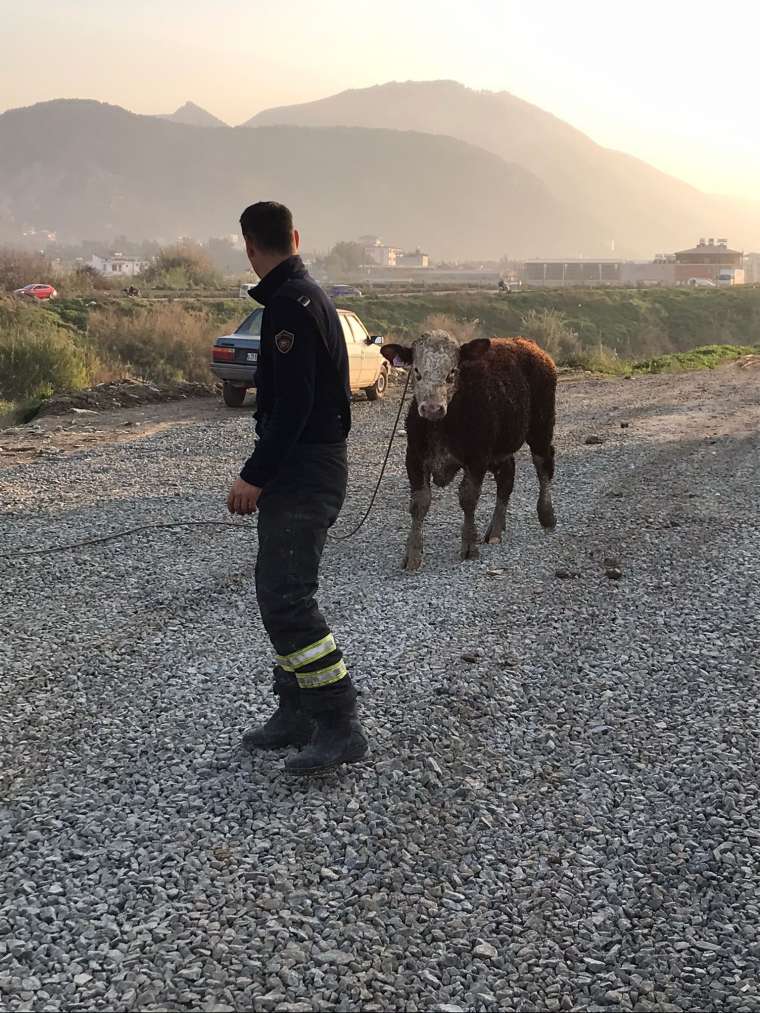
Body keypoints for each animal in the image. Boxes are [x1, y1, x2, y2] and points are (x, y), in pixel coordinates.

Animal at [383, 332, 555, 571]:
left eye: (452, 372)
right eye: (416, 371)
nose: (432, 408)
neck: (441, 425)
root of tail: (526, 343)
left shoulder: (477, 458)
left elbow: (468, 498)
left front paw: (469, 546)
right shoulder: (414, 458)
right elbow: (419, 503)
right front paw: (413, 554)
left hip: (542, 425)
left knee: (543, 464)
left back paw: (547, 515)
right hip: (501, 448)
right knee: (507, 477)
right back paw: (495, 530)